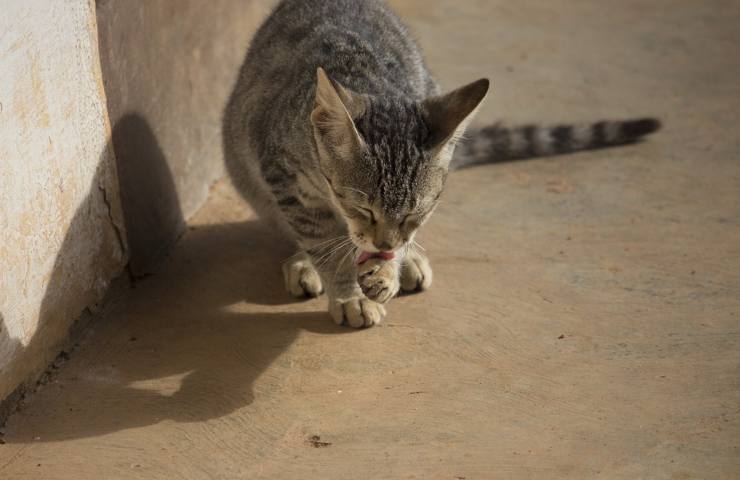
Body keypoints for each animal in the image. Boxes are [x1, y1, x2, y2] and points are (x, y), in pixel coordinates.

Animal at [223, 0, 660, 326]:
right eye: (363, 208)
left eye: (413, 213)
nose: (385, 244)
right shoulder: (286, 179)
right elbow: (323, 241)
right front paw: (347, 292)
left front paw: (388, 268)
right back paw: (306, 262)